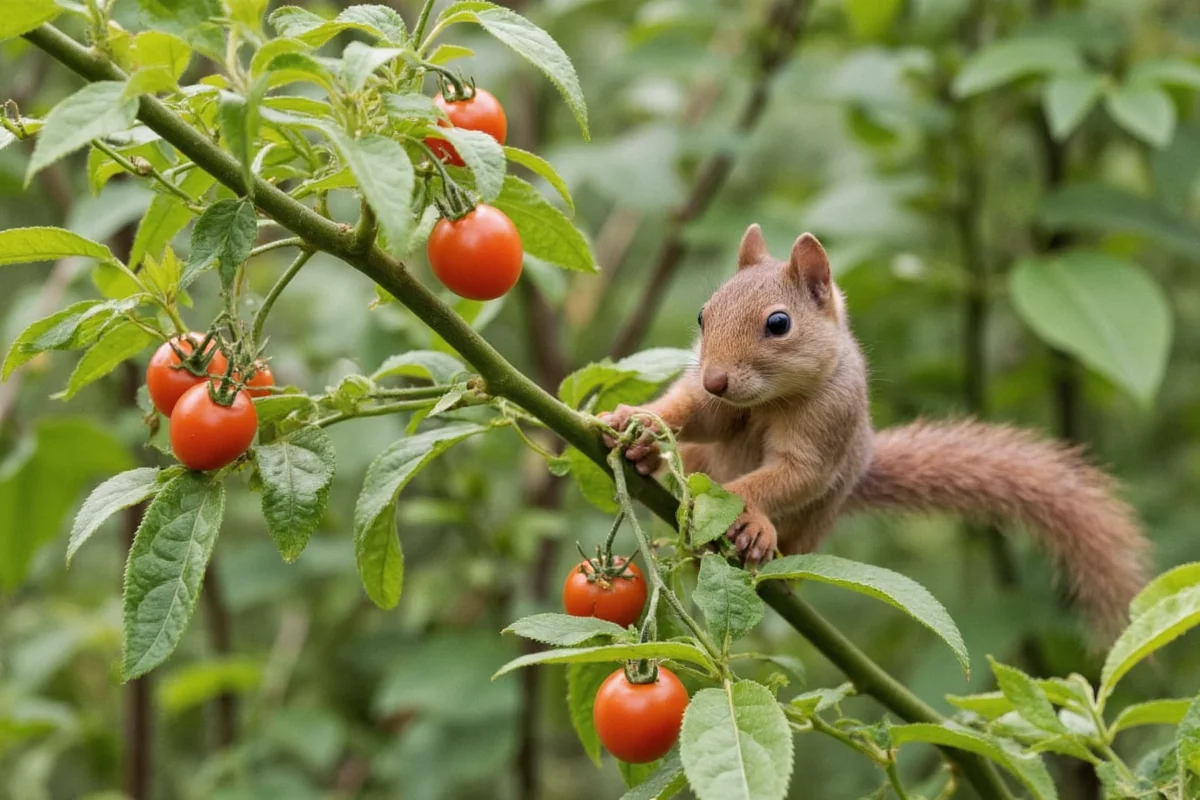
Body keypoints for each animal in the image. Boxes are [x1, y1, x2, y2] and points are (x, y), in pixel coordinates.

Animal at [601, 224, 1150, 637]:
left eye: (779, 324)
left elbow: (794, 475)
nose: (715, 377)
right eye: (703, 314)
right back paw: (647, 459)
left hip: (818, 519)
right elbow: (696, 413)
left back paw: (764, 549)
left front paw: (744, 512)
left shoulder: (828, 426)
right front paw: (638, 422)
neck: (769, 402)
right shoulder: (717, 406)